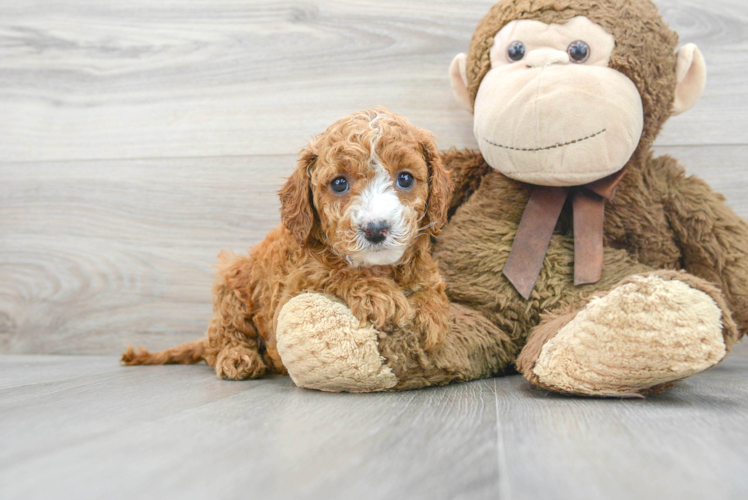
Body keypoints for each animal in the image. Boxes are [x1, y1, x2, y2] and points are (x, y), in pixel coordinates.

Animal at [120, 106, 452, 378]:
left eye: (405, 179)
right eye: (339, 183)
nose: (375, 229)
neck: (380, 268)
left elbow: (429, 286)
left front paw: (430, 315)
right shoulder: (293, 286)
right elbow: (333, 271)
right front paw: (379, 294)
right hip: (231, 281)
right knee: (224, 337)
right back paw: (237, 357)